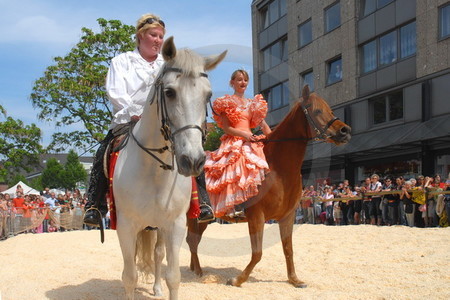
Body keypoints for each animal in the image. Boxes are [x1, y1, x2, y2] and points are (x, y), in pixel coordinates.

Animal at [112, 37, 225, 300]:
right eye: (170, 92)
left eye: (208, 94)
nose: (192, 160)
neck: (153, 171)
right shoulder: (126, 226)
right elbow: (129, 277)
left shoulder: (175, 225)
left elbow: (173, 276)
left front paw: (163, 286)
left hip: (158, 227)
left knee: (157, 254)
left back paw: (156, 288)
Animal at [185, 85, 352, 288]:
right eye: (318, 110)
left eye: (331, 110)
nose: (345, 131)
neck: (278, 169)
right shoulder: (257, 216)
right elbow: (257, 253)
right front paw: (237, 279)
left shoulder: (287, 216)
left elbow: (288, 249)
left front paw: (295, 279)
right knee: (191, 241)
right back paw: (198, 272)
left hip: (202, 219)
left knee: (193, 240)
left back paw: (196, 270)